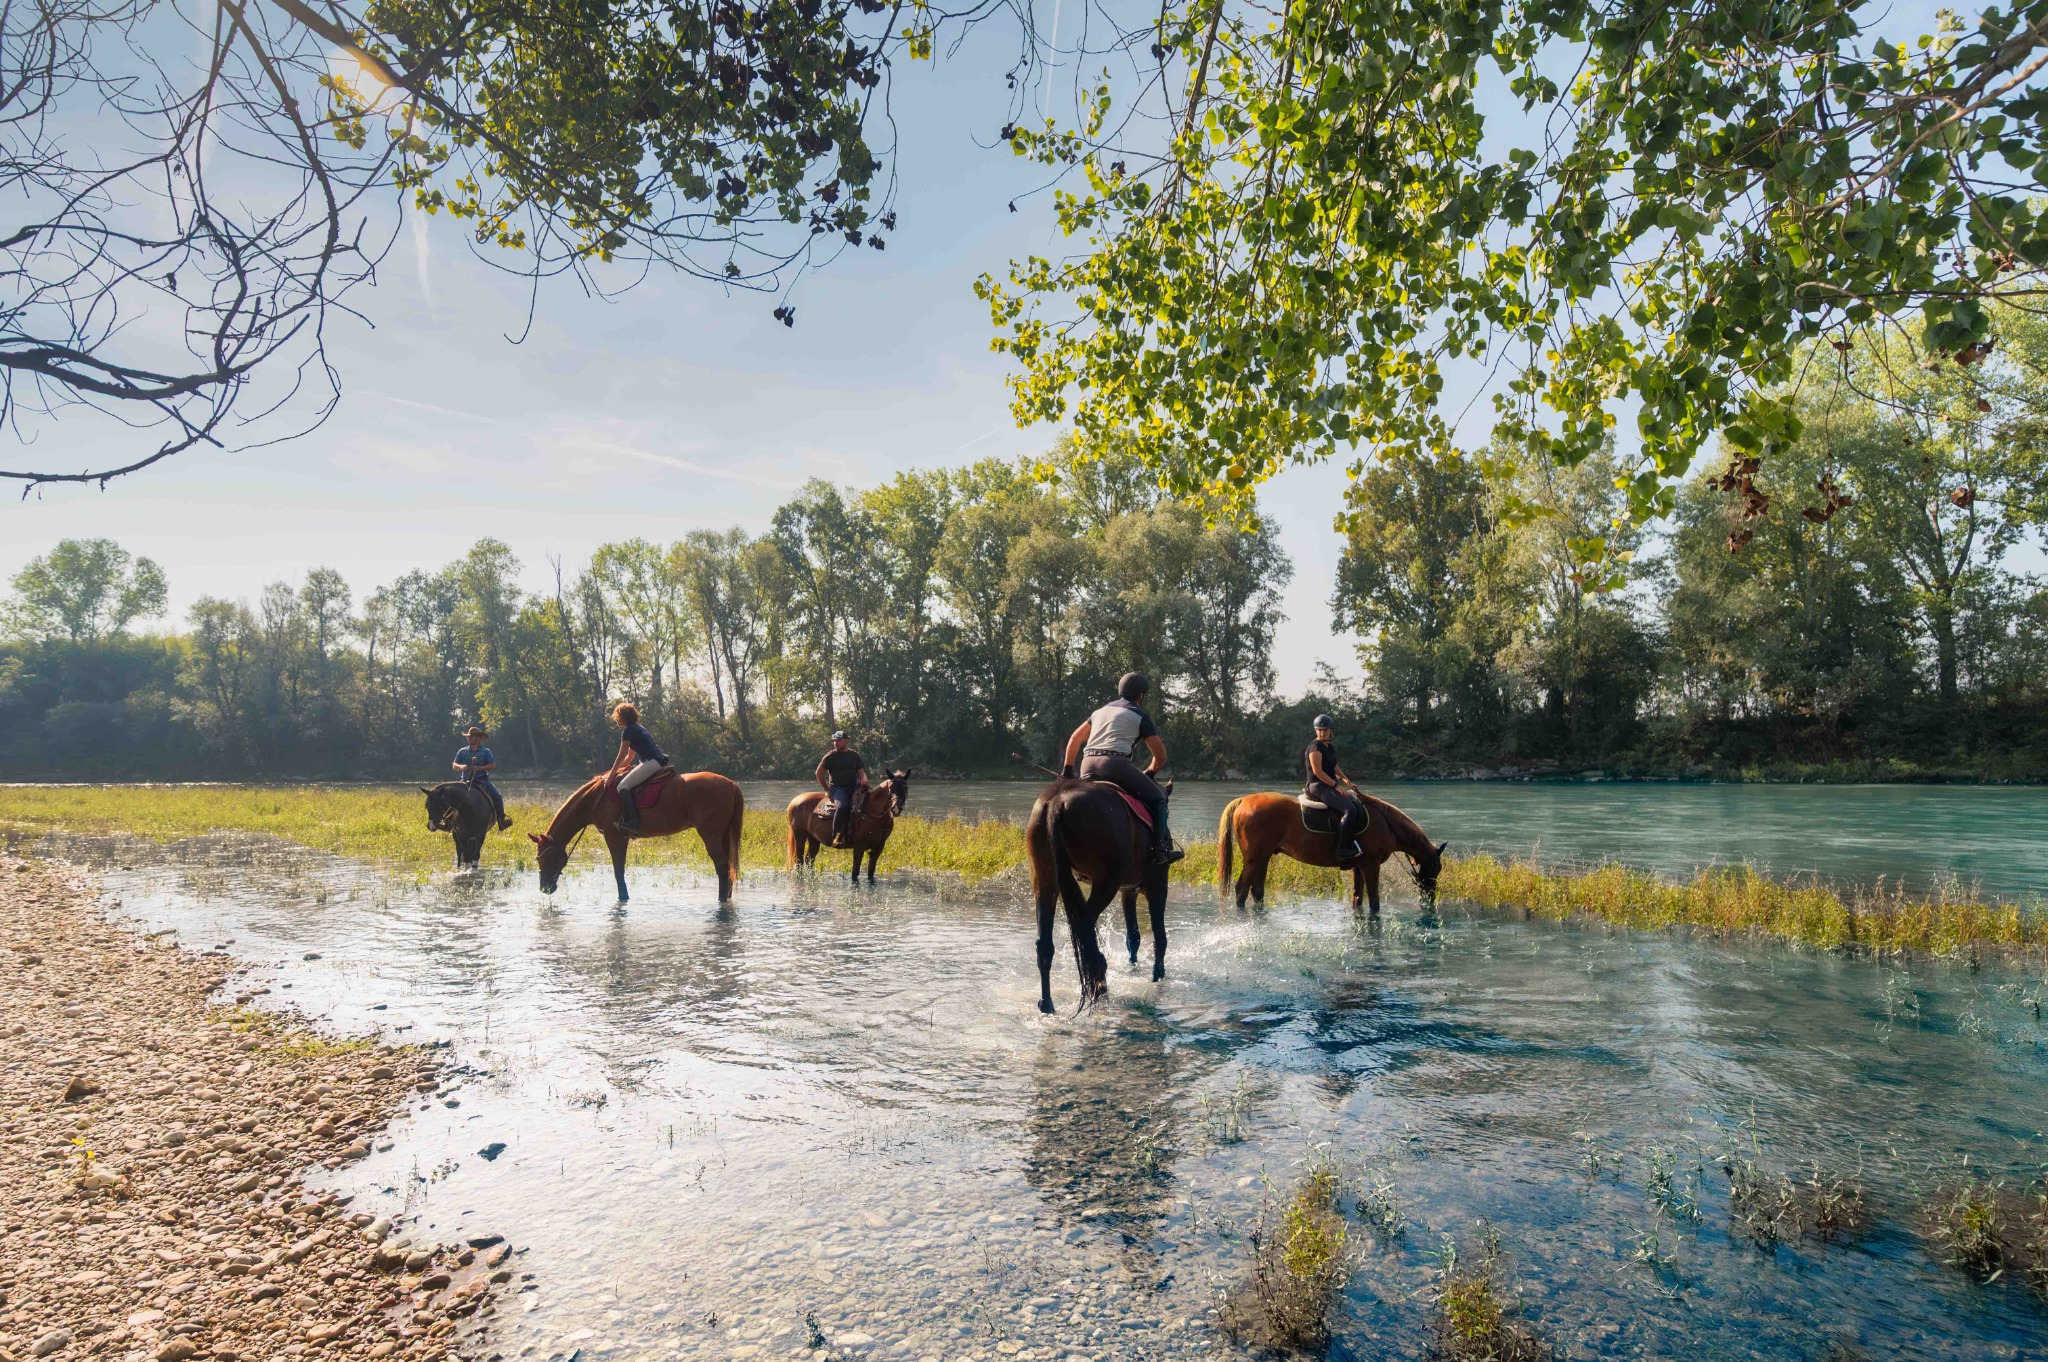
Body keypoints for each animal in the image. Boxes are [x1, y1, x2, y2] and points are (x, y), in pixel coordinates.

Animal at [528, 767, 745, 903]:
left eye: (545, 857)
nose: (544, 888)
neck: (596, 799)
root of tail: (731, 784)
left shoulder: (615, 836)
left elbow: (618, 871)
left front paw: (623, 899)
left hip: (710, 836)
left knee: (722, 867)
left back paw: (720, 901)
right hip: (723, 835)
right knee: (728, 868)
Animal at [1026, 775, 1171, 1015]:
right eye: (1166, 811)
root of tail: (1057, 801)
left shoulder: (1128, 890)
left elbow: (1133, 935)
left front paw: (1134, 967)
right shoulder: (1158, 884)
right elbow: (1159, 935)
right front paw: (1158, 974)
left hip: (1046, 879)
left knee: (1045, 944)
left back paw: (1047, 1003)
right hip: (1106, 882)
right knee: (1085, 926)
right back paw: (1099, 982)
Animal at [1217, 791, 1446, 916]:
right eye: (1436, 868)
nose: (1430, 897)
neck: (1387, 823)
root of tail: (1243, 800)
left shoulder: (1358, 866)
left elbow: (1357, 899)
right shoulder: (1371, 865)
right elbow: (1374, 902)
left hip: (1263, 858)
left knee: (1257, 891)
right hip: (1254, 859)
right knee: (1241, 890)